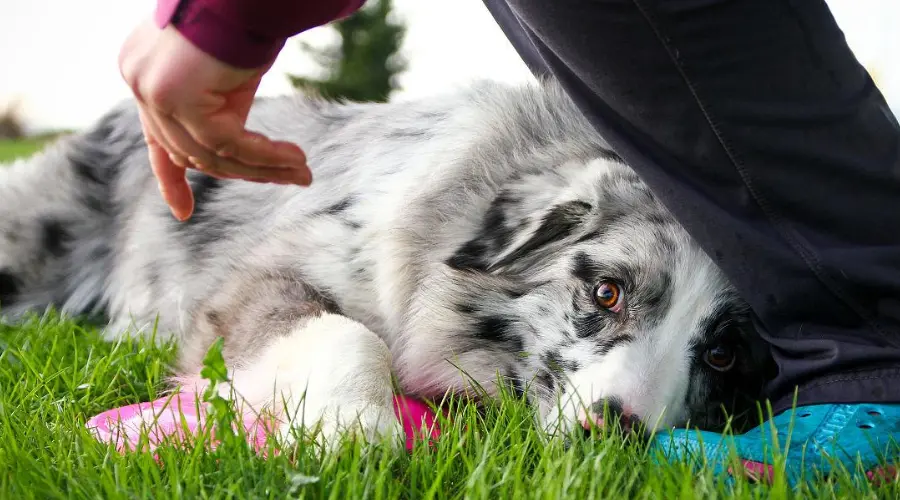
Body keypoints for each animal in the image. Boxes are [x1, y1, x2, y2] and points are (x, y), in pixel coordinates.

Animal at [0, 78, 772, 446]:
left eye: (723, 354)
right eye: (607, 293)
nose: (617, 431)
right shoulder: (261, 277)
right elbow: (346, 332)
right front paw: (350, 426)